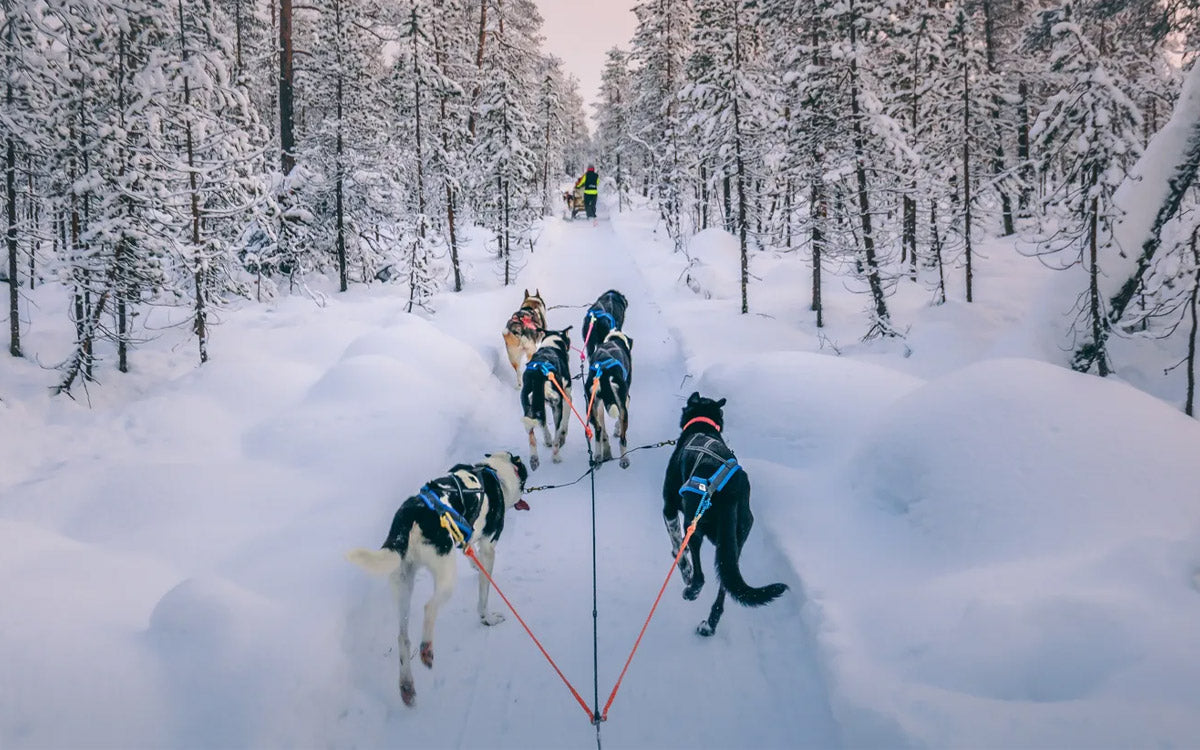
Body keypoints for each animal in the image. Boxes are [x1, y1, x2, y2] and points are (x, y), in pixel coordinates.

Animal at [350, 453, 532, 705]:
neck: (494, 471)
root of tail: (411, 515)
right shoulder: (488, 548)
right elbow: (483, 596)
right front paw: (487, 618)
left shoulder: (468, 542)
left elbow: (473, 558)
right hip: (445, 575)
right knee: (429, 608)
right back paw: (426, 650)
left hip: (403, 582)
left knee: (403, 638)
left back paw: (407, 686)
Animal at [662, 396, 782, 633]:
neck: (703, 425)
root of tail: (730, 491)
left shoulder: (668, 507)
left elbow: (677, 542)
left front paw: (682, 563)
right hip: (734, 542)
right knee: (725, 586)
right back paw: (710, 625)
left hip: (695, 524)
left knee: (700, 576)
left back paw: (691, 590)